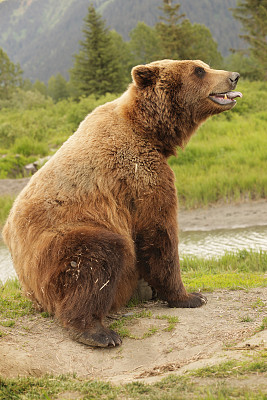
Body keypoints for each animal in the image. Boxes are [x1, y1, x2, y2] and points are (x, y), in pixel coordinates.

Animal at [2, 59, 242, 346]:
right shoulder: (140, 175)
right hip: (55, 246)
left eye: (204, 65)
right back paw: (97, 332)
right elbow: (159, 233)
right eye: (199, 70)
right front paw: (190, 296)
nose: (234, 76)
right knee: (97, 257)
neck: (147, 130)